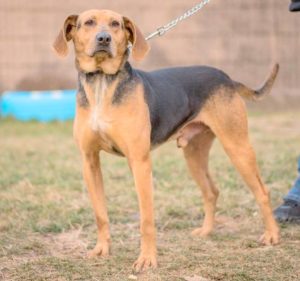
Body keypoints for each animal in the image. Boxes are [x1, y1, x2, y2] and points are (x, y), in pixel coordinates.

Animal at [52, 8, 280, 272]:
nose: (104, 38)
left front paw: (147, 259)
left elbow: (146, 219)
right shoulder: (89, 161)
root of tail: (227, 79)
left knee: (262, 192)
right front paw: (102, 249)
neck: (102, 83)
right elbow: (101, 214)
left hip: (237, 146)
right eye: (88, 22)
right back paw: (206, 231)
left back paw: (272, 235)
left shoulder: (139, 162)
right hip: (194, 154)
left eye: (115, 24)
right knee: (211, 191)